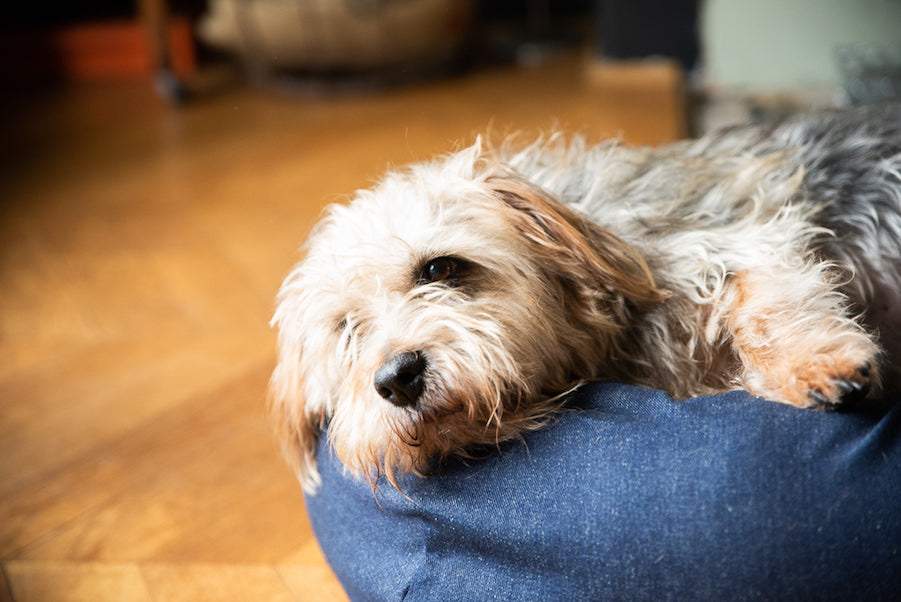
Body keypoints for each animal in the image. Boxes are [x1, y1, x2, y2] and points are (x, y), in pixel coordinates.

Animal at [268, 103, 900, 490]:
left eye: (440, 267)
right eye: (346, 330)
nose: (397, 378)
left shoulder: (741, 238)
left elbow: (764, 301)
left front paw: (817, 364)